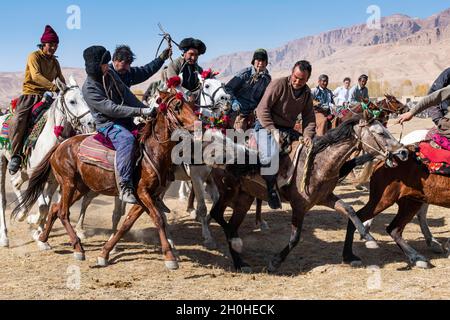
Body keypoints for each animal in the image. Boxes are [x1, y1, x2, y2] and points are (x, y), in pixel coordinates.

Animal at [0, 77, 94, 248]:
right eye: (72, 101)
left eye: (84, 98)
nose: (91, 123)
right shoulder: (36, 176)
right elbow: (43, 205)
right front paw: (34, 224)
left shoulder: (52, 179)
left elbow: (47, 205)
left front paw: (39, 233)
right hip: (3, 164)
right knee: (2, 199)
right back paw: (4, 237)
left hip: (25, 172)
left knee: (15, 183)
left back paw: (22, 214)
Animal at [12, 88, 198, 270]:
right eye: (177, 106)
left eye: (190, 104)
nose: (197, 124)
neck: (152, 152)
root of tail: (60, 146)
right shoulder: (143, 193)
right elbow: (158, 219)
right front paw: (170, 257)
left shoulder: (146, 197)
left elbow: (126, 224)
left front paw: (105, 254)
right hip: (67, 183)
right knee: (63, 212)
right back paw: (77, 248)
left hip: (80, 187)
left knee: (55, 209)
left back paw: (44, 239)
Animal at [206, 114, 410, 272]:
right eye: (380, 133)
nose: (403, 152)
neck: (318, 162)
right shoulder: (299, 206)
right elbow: (295, 237)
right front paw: (275, 262)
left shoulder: (326, 198)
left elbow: (350, 210)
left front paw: (366, 240)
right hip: (228, 192)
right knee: (217, 215)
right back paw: (234, 242)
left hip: (244, 198)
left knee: (230, 223)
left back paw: (240, 263)